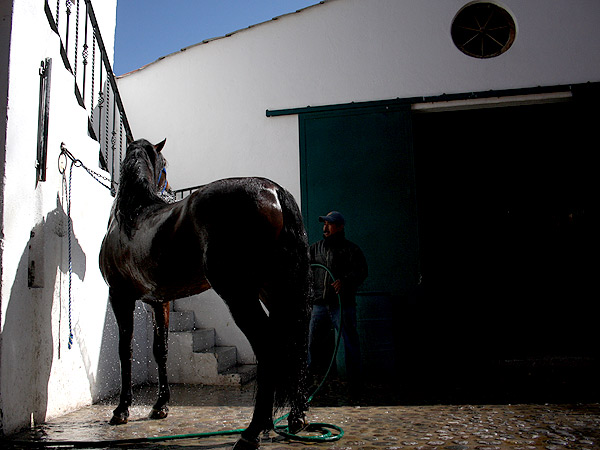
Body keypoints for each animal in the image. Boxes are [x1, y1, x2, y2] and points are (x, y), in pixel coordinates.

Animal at [99, 139, 312, 448]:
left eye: (164, 164)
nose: (169, 188)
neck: (132, 216)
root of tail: (273, 190)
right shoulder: (159, 301)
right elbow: (160, 350)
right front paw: (160, 406)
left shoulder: (120, 296)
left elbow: (124, 350)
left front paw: (121, 409)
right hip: (275, 290)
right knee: (294, 342)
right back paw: (295, 417)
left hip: (239, 294)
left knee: (268, 346)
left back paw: (252, 432)